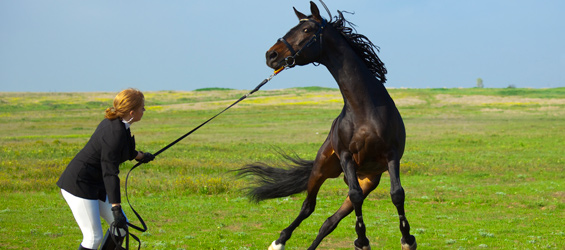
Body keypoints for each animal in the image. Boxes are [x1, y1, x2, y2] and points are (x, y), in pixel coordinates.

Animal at [234, 1, 414, 248]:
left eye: (306, 29)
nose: (271, 55)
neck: (364, 109)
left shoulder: (391, 154)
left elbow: (397, 194)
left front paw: (407, 239)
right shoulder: (347, 156)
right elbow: (355, 197)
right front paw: (362, 240)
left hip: (368, 179)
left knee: (329, 222)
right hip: (321, 169)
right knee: (308, 207)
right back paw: (278, 242)